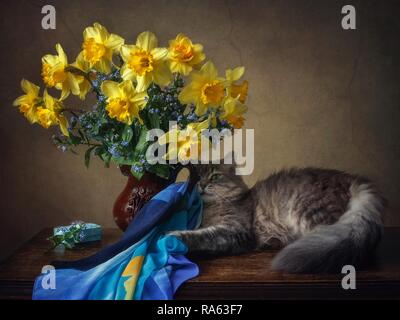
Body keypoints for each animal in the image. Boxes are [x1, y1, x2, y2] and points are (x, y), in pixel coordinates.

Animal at [168, 165, 384, 272]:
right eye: (197, 177)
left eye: (214, 176)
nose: (202, 185)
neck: (212, 208)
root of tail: (353, 180)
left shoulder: (235, 230)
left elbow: (200, 235)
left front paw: (172, 236)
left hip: (309, 212)